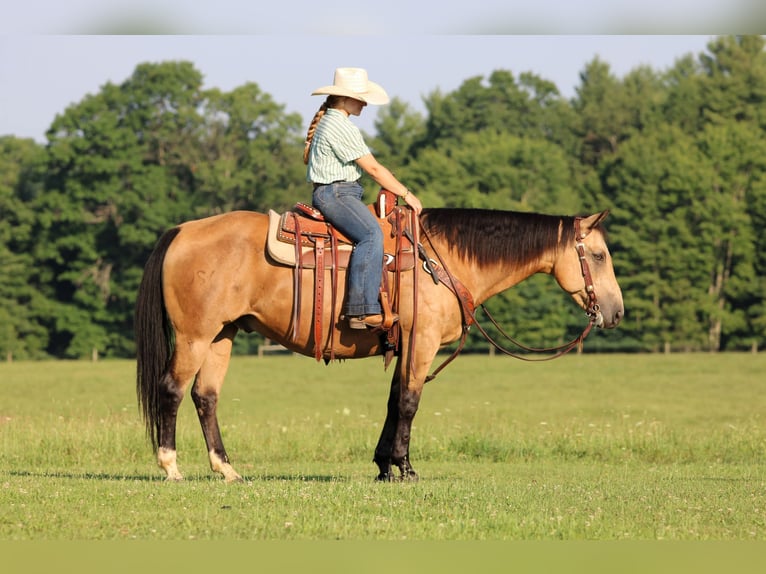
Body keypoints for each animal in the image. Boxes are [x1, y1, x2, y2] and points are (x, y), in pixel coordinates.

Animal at [135, 206, 624, 482]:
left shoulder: (405, 344)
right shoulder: (422, 341)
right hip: (195, 336)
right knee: (172, 391)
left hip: (223, 335)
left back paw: (227, 469)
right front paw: (405, 469)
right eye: (599, 256)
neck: (441, 261)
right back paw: (171, 467)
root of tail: (183, 230)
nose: (616, 312)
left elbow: (393, 402)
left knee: (206, 397)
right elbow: (409, 402)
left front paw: (384, 466)